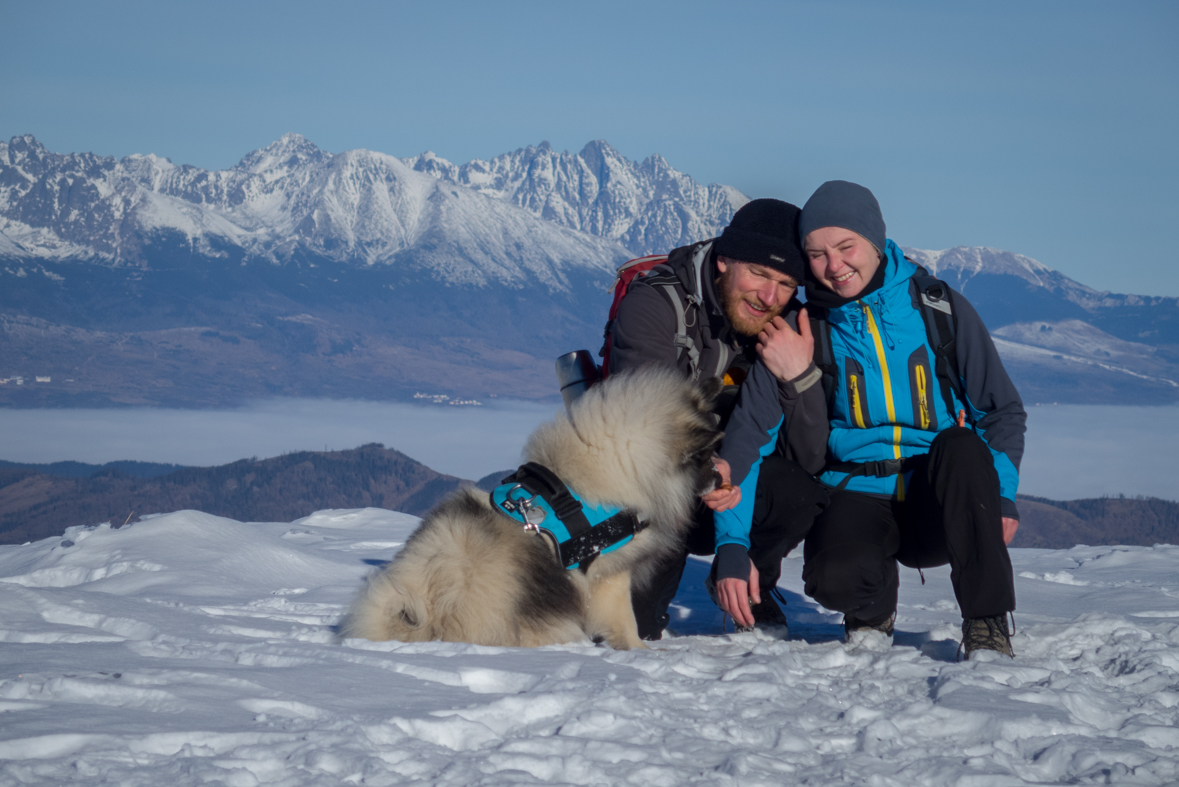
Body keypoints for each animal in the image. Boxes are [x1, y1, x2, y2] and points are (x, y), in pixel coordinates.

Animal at [341, 369, 721, 650]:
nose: (722, 477)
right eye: (705, 455)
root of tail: (431, 615)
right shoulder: (610, 575)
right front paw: (639, 651)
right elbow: (624, 619)